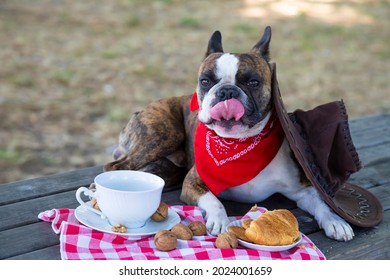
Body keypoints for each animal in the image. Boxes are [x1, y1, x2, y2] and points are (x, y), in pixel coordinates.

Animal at [105, 25, 354, 241]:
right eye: (205, 81)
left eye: (253, 82)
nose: (226, 91)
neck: (237, 144)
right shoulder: (192, 184)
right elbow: (213, 200)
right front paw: (220, 221)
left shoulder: (302, 190)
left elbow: (321, 203)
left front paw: (335, 221)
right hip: (164, 134)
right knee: (116, 167)